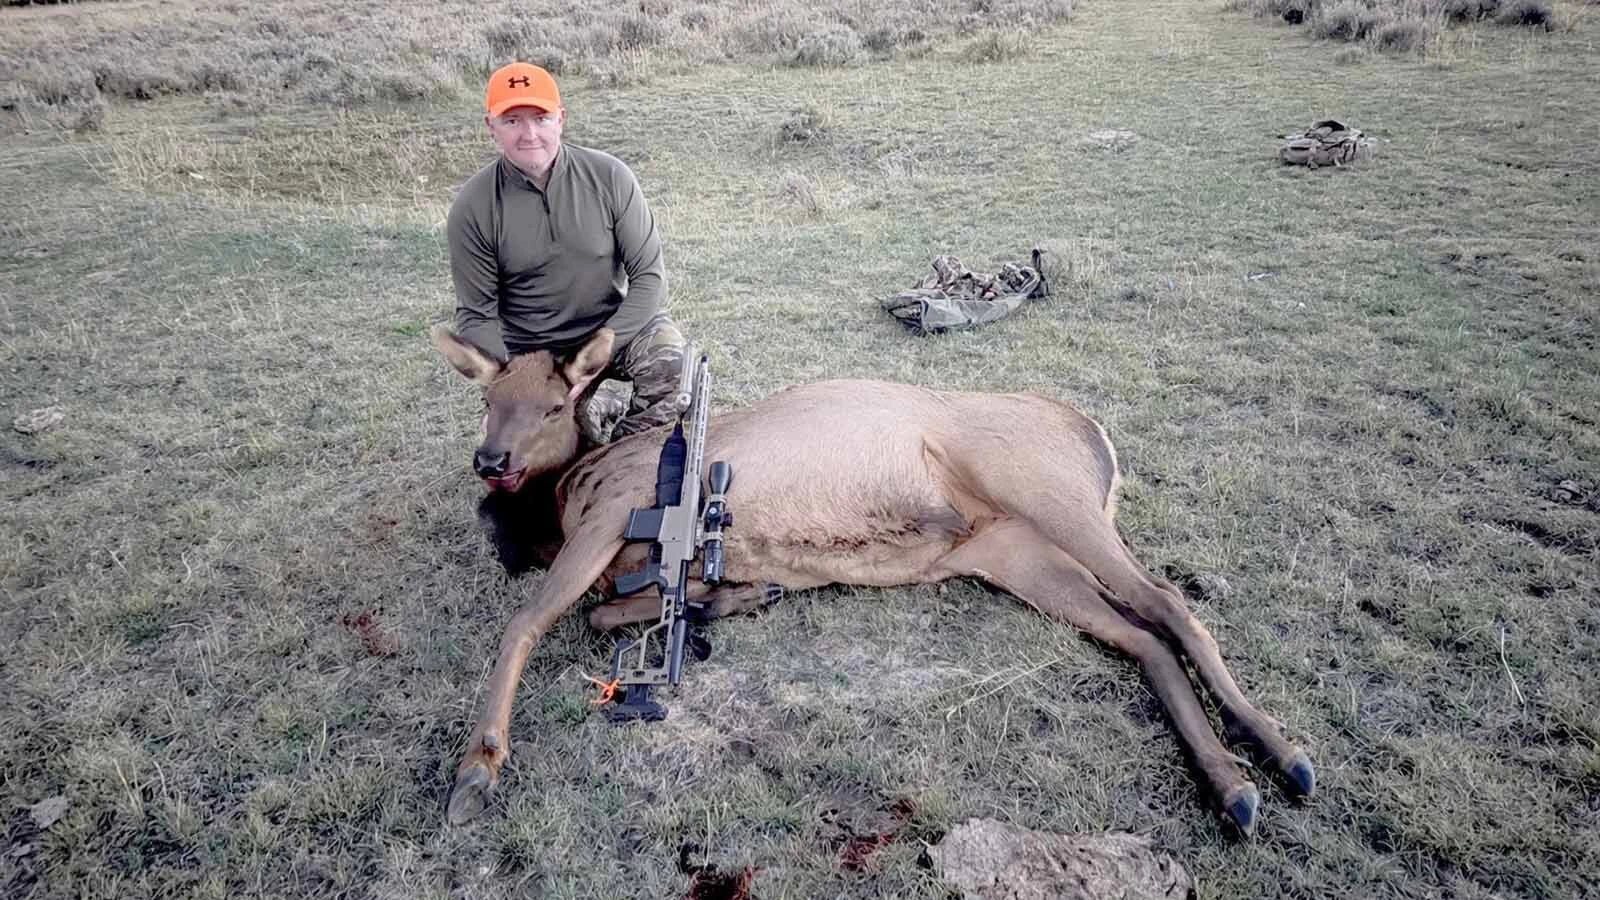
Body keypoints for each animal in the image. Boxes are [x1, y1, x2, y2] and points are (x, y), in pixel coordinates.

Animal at [430, 324, 1315, 835]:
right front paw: (736, 597)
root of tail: (1098, 437)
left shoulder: (616, 513)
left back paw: (1280, 752)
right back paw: (1234, 786)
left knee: (1168, 601)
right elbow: (614, 614)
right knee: (1140, 636)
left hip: (1050, 495)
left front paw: (478, 766)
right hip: (1015, 555)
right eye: (487, 398)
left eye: (554, 403)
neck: (560, 502)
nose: (491, 459)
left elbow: (535, 622)